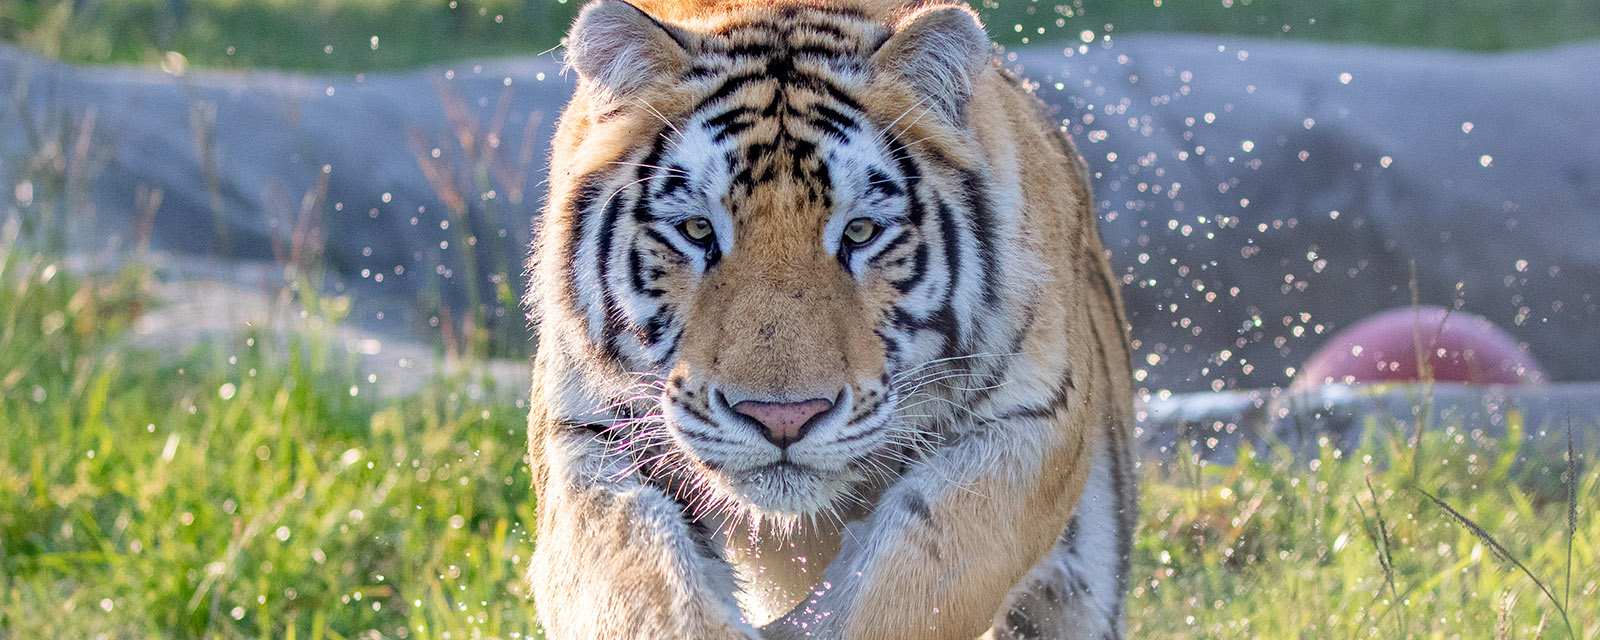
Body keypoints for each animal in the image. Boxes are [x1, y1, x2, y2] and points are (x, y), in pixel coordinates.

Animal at [523, 0, 1137, 637]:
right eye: (696, 230)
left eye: (860, 232)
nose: (783, 419)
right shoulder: (584, 431)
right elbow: (641, 576)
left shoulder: (1031, 417)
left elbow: (911, 570)